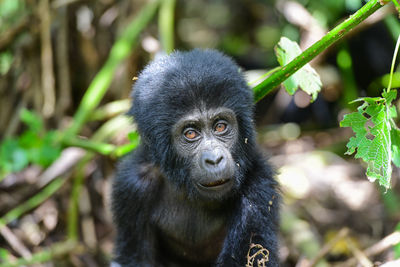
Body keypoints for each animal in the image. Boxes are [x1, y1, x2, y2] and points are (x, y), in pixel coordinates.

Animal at [109, 49, 278, 266]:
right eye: (190, 133)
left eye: (220, 126)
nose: (214, 160)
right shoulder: (132, 187)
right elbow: (135, 258)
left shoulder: (259, 186)